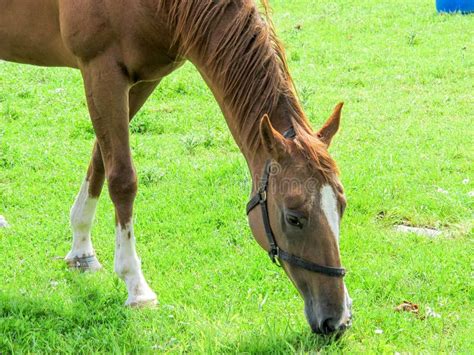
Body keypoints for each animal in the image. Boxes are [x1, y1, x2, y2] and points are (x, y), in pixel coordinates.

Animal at [1, 0, 352, 336]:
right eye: (294, 218)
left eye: (342, 207)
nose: (338, 320)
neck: (159, 7)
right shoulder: (102, 73)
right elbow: (122, 178)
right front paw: (135, 285)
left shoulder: (143, 79)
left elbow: (100, 159)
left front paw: (81, 250)